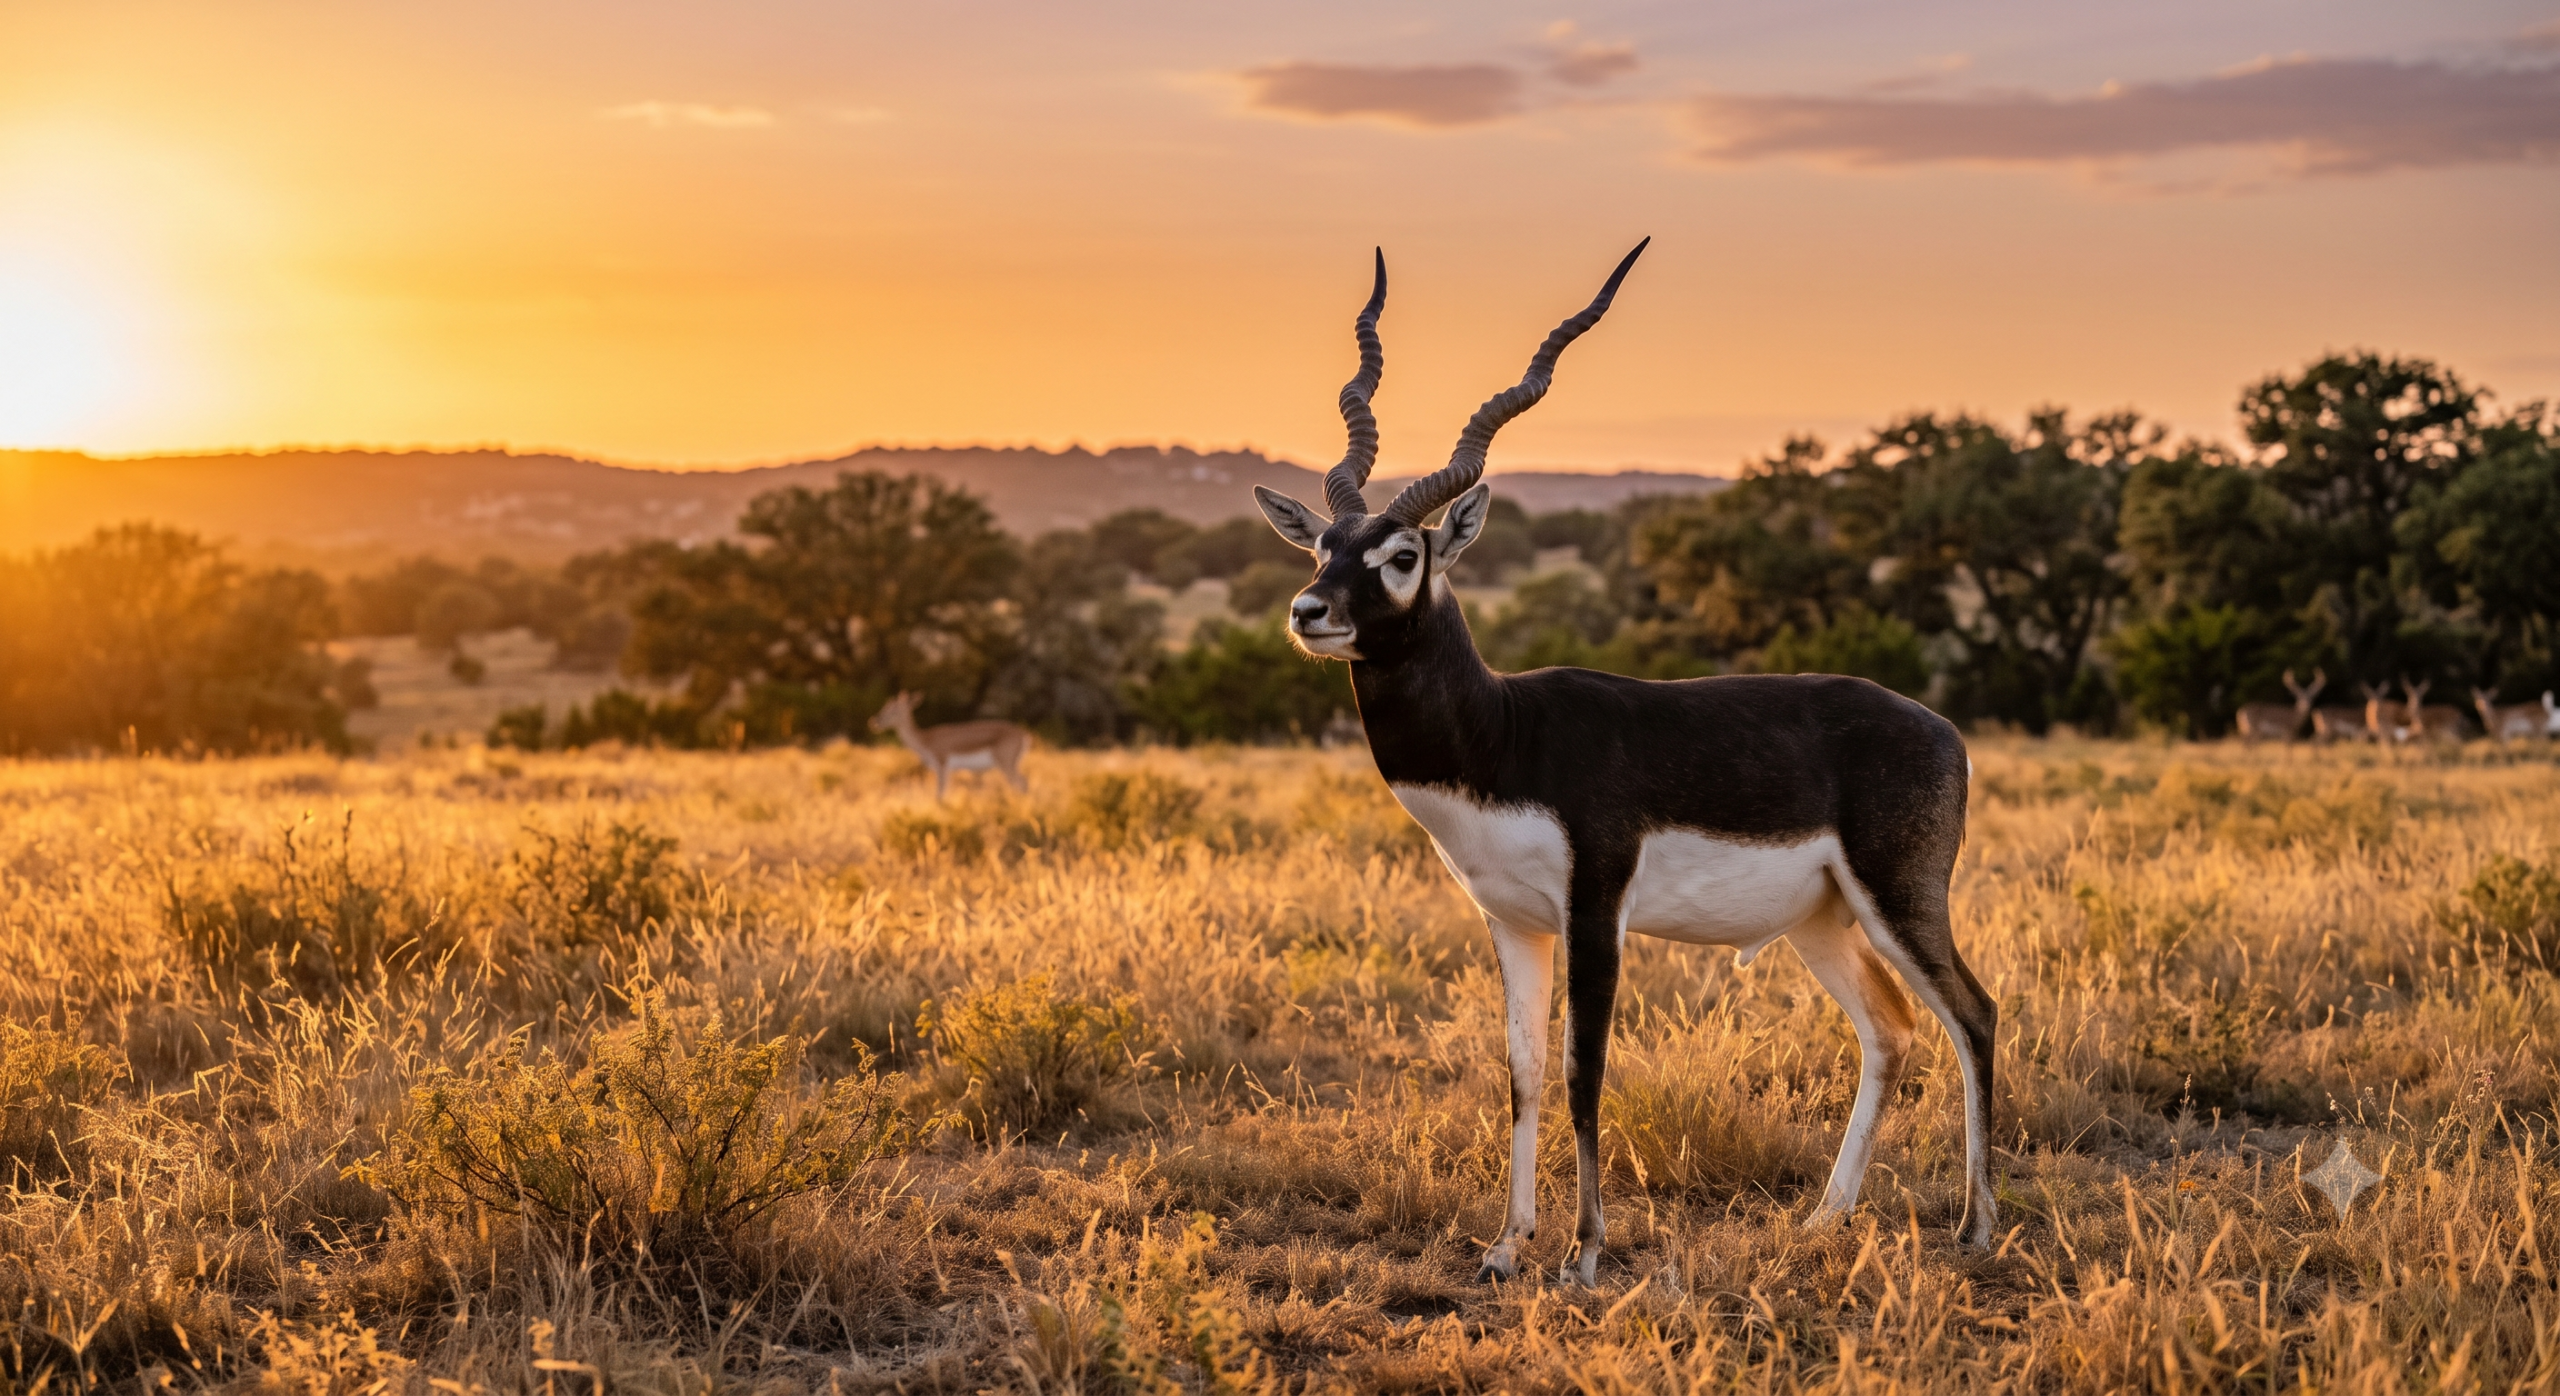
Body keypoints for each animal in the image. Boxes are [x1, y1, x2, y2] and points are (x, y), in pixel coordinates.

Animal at [868, 692, 1031, 800]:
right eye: (886, 706)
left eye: (894, 709)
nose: (875, 721)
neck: (925, 739)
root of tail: (1023, 734)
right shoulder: (947, 770)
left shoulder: (941, 766)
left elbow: (939, 795)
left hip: (1006, 765)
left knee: (1021, 782)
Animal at [1251, 244, 1997, 1285]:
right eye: (1322, 542)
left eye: (1402, 554)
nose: (1308, 611)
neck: (1506, 734)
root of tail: (1942, 730)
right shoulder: (1512, 922)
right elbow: (1522, 1073)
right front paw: (1504, 1248)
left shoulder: (1594, 909)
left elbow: (1583, 1069)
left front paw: (1585, 1252)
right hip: (1822, 921)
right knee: (1890, 1028)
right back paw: (1823, 1221)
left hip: (1902, 896)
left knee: (1976, 1015)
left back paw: (1977, 1227)